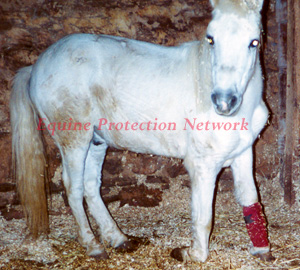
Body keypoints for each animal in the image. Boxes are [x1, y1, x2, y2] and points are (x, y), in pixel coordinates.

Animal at [9, 0, 274, 262]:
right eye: (211, 39)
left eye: (254, 42)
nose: (223, 102)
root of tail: (36, 67)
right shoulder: (203, 165)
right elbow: (204, 219)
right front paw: (190, 253)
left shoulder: (243, 154)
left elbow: (250, 198)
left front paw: (262, 250)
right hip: (74, 140)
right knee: (73, 187)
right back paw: (93, 245)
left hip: (96, 141)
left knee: (91, 185)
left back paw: (119, 239)